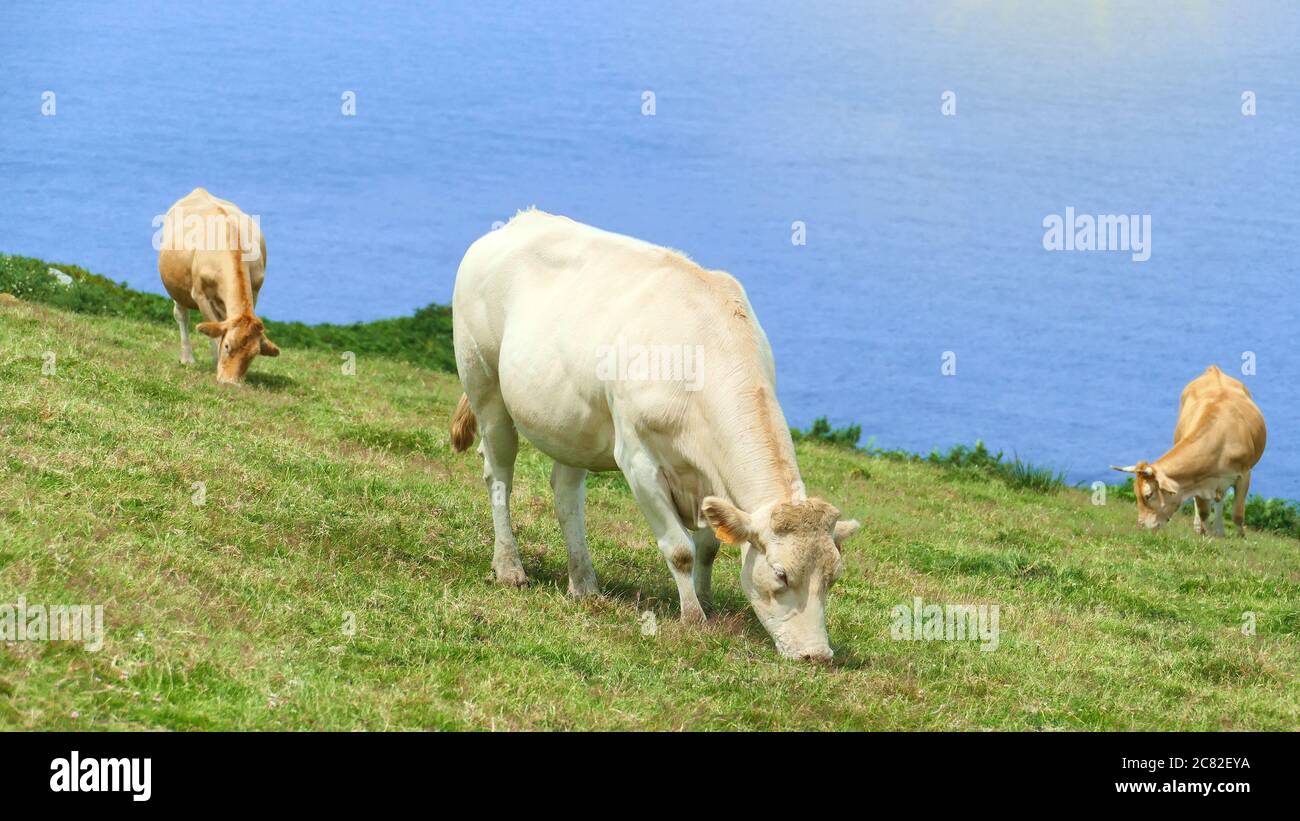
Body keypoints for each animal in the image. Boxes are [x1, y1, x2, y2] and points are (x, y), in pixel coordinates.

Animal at [158, 188, 279, 384]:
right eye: (228, 346)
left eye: (253, 355)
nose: (231, 383)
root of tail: (199, 190)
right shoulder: (200, 295)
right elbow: (214, 329)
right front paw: (216, 361)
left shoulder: (255, 291)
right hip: (177, 289)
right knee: (181, 315)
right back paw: (187, 357)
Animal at [449, 209, 861, 661]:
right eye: (782, 574)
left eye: (834, 577)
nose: (817, 655)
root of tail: (519, 221)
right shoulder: (638, 458)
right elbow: (680, 549)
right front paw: (693, 618)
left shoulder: (704, 476)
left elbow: (709, 546)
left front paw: (707, 602)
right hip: (484, 382)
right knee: (499, 476)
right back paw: (510, 568)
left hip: (572, 422)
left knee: (566, 492)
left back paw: (584, 584)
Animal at [1112, 365, 1266, 537]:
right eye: (1136, 494)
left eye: (1148, 495)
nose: (1142, 527)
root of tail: (1213, 369)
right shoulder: (1198, 481)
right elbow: (1204, 511)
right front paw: (1206, 535)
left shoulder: (1244, 475)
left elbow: (1237, 514)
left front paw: (1240, 537)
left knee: (1220, 499)